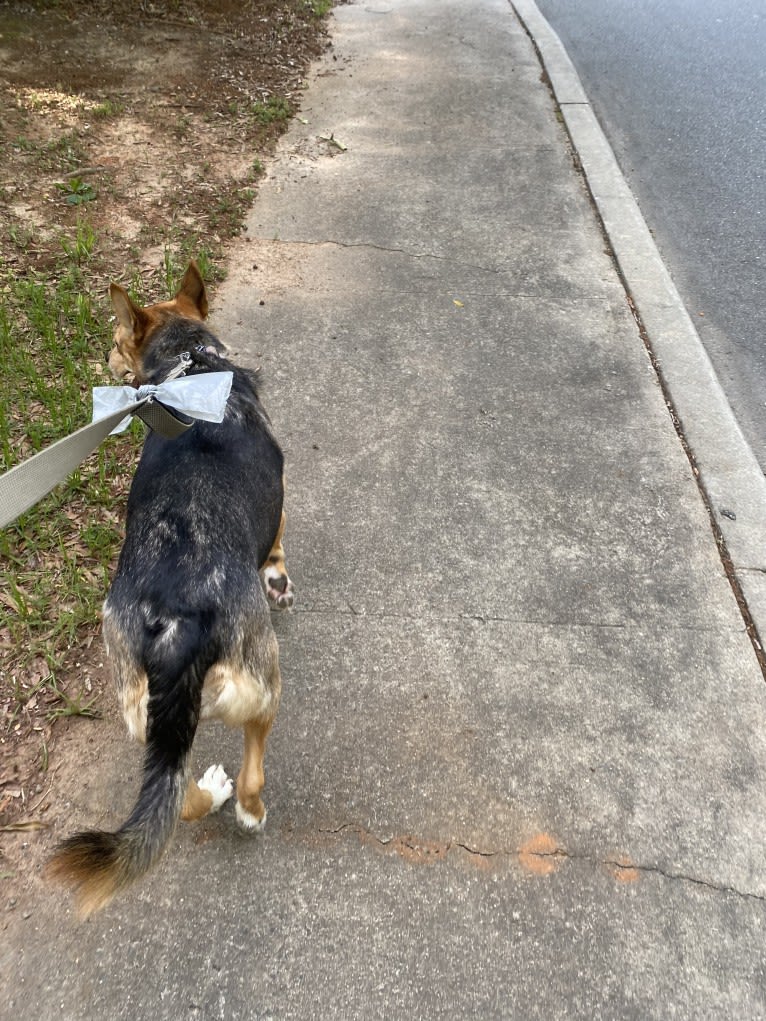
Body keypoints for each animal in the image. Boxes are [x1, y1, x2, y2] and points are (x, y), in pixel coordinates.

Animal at [48, 263, 294, 918]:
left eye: (116, 340)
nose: (106, 359)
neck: (193, 367)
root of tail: (179, 622)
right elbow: (280, 542)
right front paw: (278, 576)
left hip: (144, 714)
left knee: (176, 797)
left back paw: (207, 792)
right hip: (262, 685)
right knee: (252, 775)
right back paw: (246, 810)